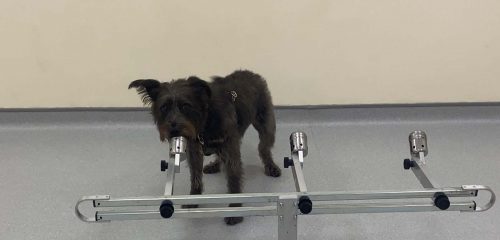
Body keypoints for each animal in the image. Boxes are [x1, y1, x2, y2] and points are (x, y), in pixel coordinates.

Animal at [129, 69, 282, 225]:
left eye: (185, 106)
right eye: (164, 107)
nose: (174, 130)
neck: (205, 120)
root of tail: (251, 73)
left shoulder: (230, 150)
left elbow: (233, 178)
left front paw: (235, 208)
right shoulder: (194, 151)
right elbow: (195, 176)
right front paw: (193, 199)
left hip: (266, 126)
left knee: (264, 149)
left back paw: (271, 166)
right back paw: (215, 165)